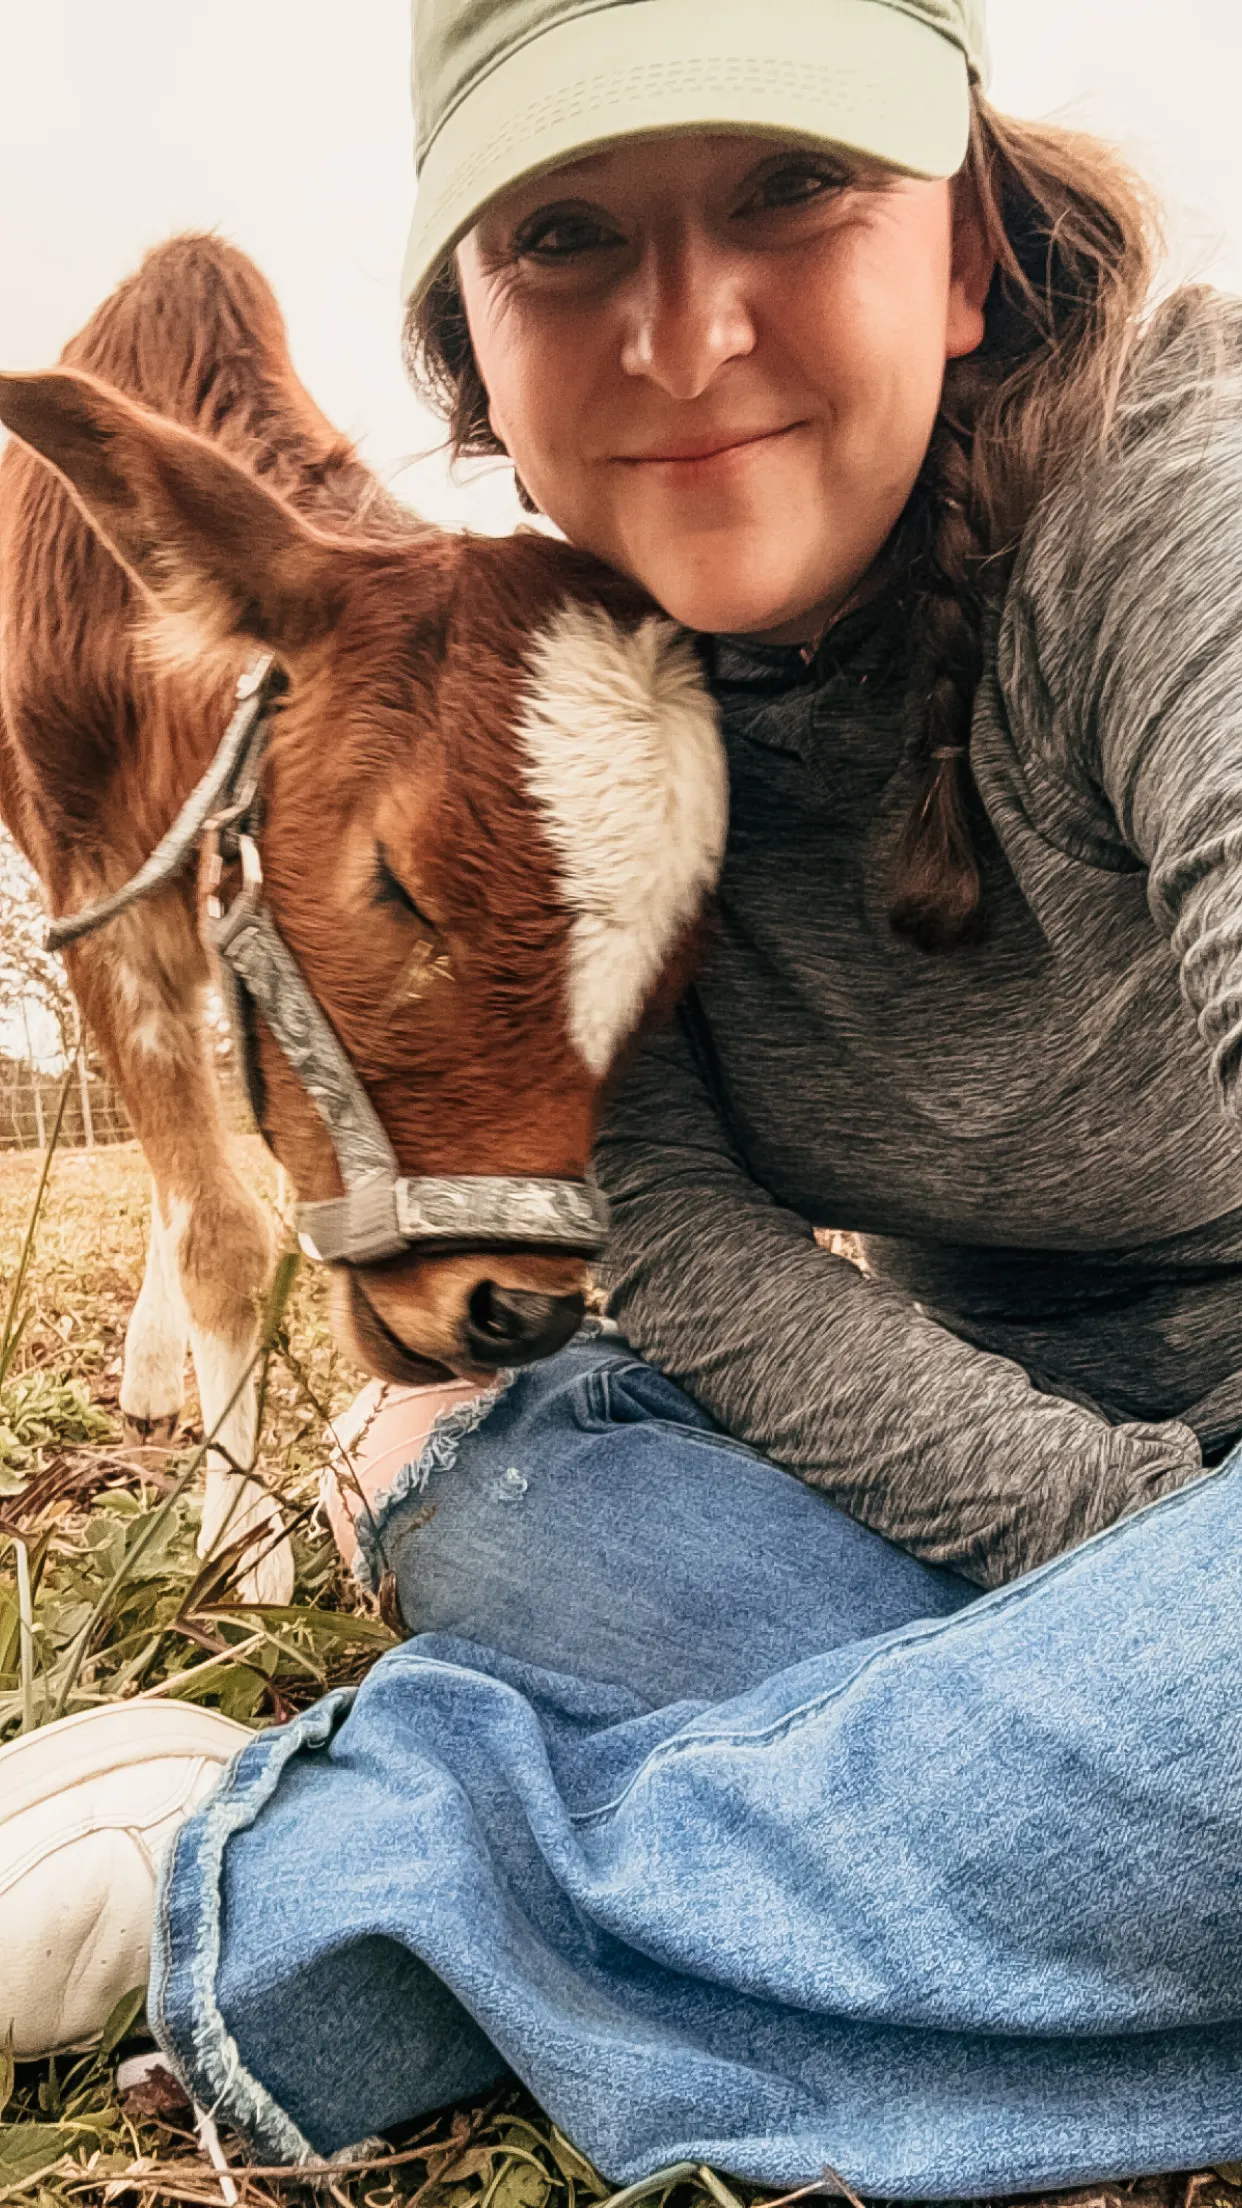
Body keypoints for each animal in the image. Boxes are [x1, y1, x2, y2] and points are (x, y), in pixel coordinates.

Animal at [0, 235, 726, 1602]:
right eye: (397, 881)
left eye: (664, 985)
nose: (520, 1312)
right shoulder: (94, 895)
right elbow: (221, 1236)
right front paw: (239, 1542)